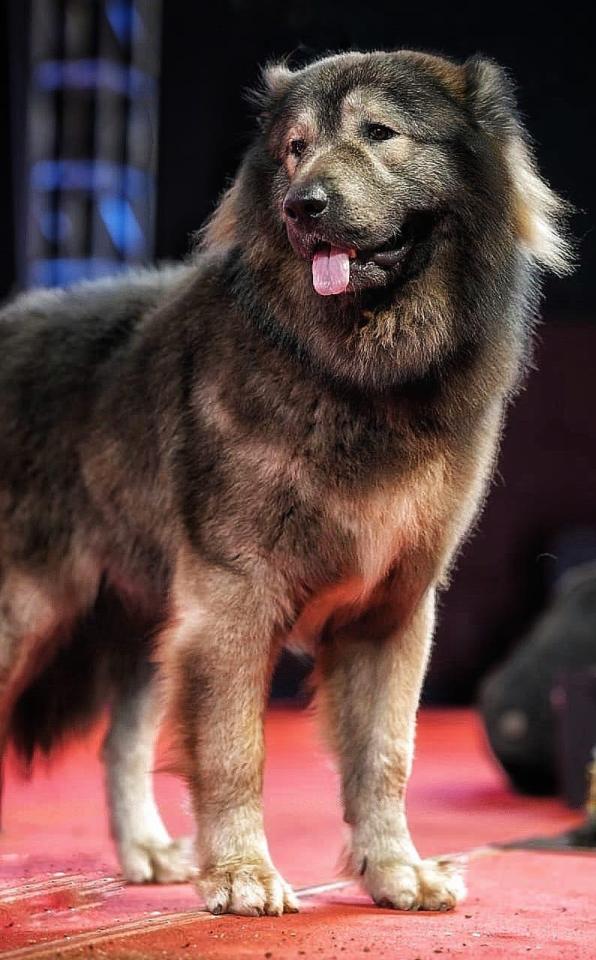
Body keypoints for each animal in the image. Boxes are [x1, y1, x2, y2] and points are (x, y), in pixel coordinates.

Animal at [0, 50, 572, 916]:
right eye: (296, 148)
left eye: (381, 133)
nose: (304, 205)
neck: (353, 371)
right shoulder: (231, 599)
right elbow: (236, 752)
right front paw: (242, 875)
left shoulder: (391, 609)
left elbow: (386, 756)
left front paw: (395, 873)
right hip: (29, 613)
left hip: (140, 623)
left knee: (119, 745)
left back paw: (146, 851)